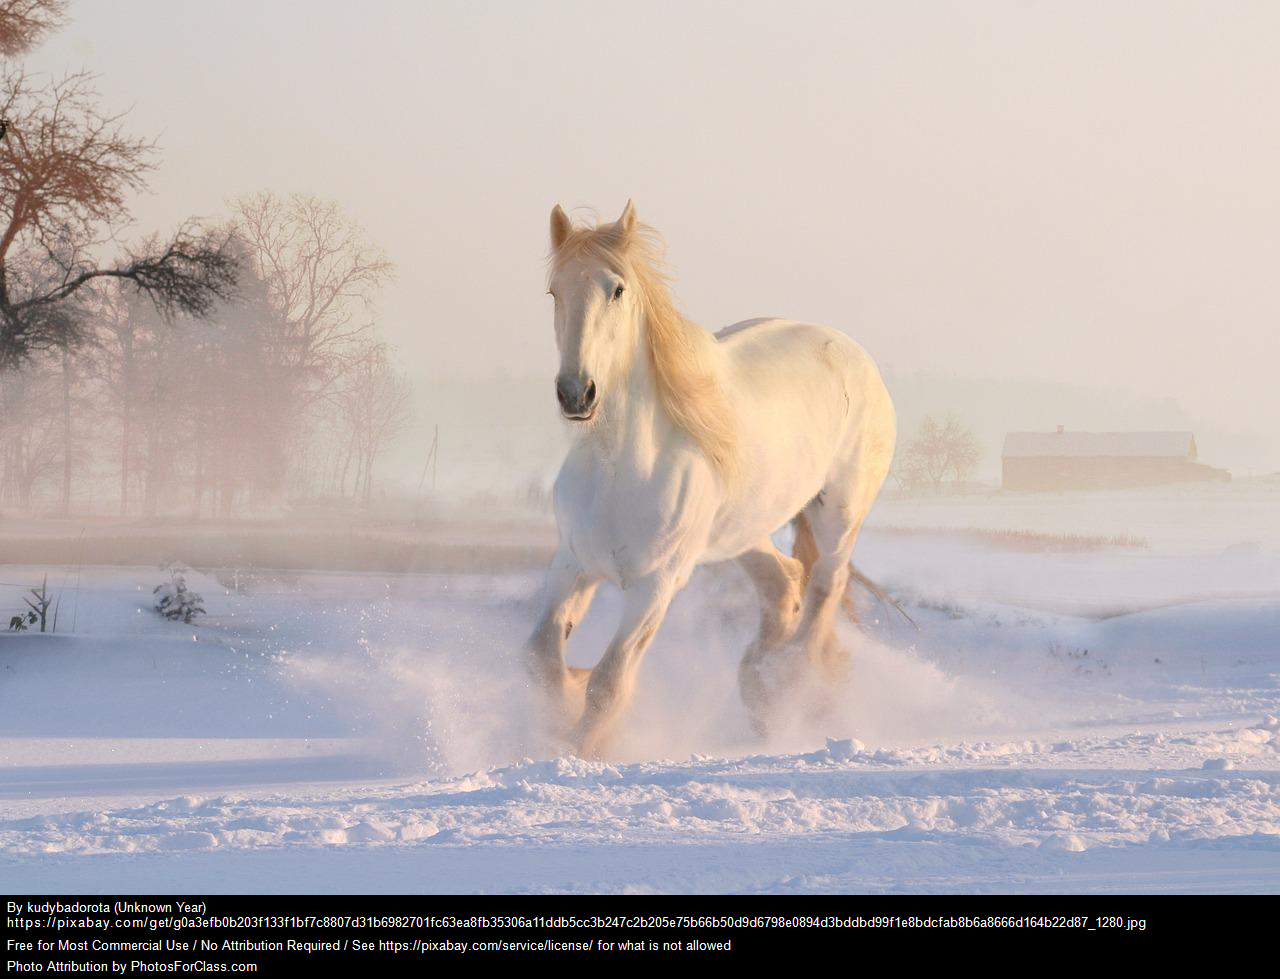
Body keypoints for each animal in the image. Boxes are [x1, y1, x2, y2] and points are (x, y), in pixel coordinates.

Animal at [526, 200, 896, 759]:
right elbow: (543, 660)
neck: (620, 469)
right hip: (742, 532)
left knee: (825, 587)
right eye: (554, 291)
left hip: (839, 513)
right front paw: (564, 706)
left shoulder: (656, 586)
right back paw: (760, 687)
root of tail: (854, 354)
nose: (576, 393)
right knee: (784, 582)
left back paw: (790, 683)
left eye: (617, 289)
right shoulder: (572, 564)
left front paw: (582, 748)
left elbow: (609, 683)